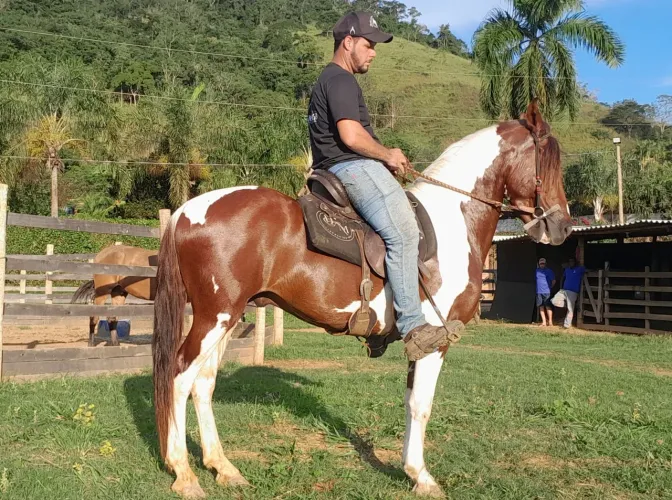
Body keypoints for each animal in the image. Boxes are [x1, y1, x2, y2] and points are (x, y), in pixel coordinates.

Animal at [151, 100, 573, 498]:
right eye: (550, 160)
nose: (563, 227)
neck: (453, 223)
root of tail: (186, 211)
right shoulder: (436, 339)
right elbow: (422, 405)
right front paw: (423, 477)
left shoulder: (418, 343)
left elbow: (410, 401)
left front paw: (410, 470)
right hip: (215, 317)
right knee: (179, 377)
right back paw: (184, 473)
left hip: (226, 319)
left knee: (203, 384)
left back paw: (223, 467)